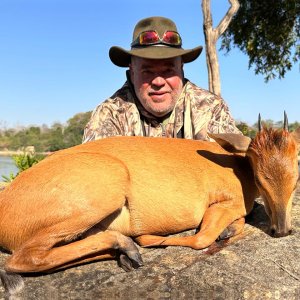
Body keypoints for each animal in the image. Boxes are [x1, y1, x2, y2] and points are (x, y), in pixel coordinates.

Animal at [0, 113, 298, 294]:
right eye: (259, 175)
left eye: (296, 169)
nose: (282, 229)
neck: (237, 166)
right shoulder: (223, 204)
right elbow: (202, 238)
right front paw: (146, 238)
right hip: (106, 189)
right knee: (21, 259)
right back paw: (127, 246)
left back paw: (123, 254)